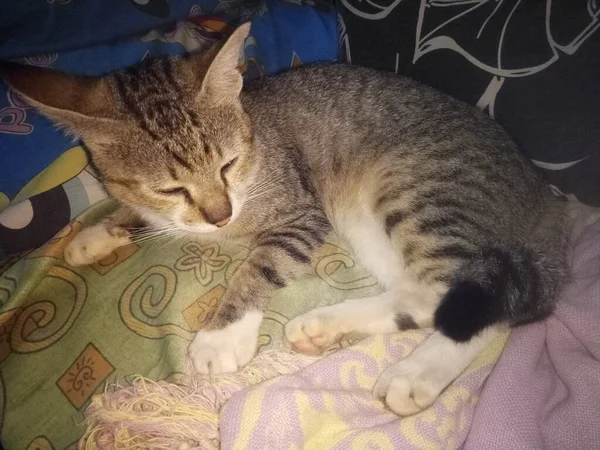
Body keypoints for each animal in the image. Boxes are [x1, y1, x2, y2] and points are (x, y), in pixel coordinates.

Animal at [0, 23, 568, 414]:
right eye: (170, 187)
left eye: (227, 164)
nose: (221, 216)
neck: (253, 143)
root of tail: (546, 200)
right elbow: (152, 216)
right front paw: (97, 234)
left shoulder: (300, 210)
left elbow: (263, 264)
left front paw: (221, 336)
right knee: (460, 303)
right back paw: (339, 335)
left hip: (417, 189)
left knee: (457, 293)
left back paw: (409, 370)